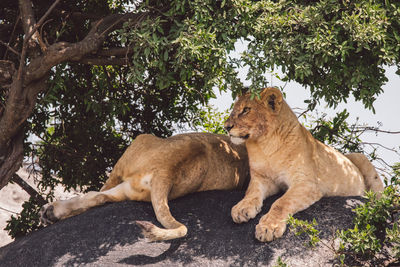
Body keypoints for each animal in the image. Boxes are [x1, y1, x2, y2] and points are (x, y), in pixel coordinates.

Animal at [39, 133, 247, 242]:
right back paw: (50, 213)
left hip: (135, 146)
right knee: (99, 196)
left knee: (97, 193)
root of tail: (168, 169)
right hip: (131, 188)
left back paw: (49, 212)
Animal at [225, 87, 384, 243]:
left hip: (360, 158)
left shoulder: (307, 183)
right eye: (235, 109)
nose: (226, 127)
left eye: (246, 110)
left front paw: (268, 227)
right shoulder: (262, 178)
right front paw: (242, 208)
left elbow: (281, 203)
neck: (265, 145)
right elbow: (251, 193)